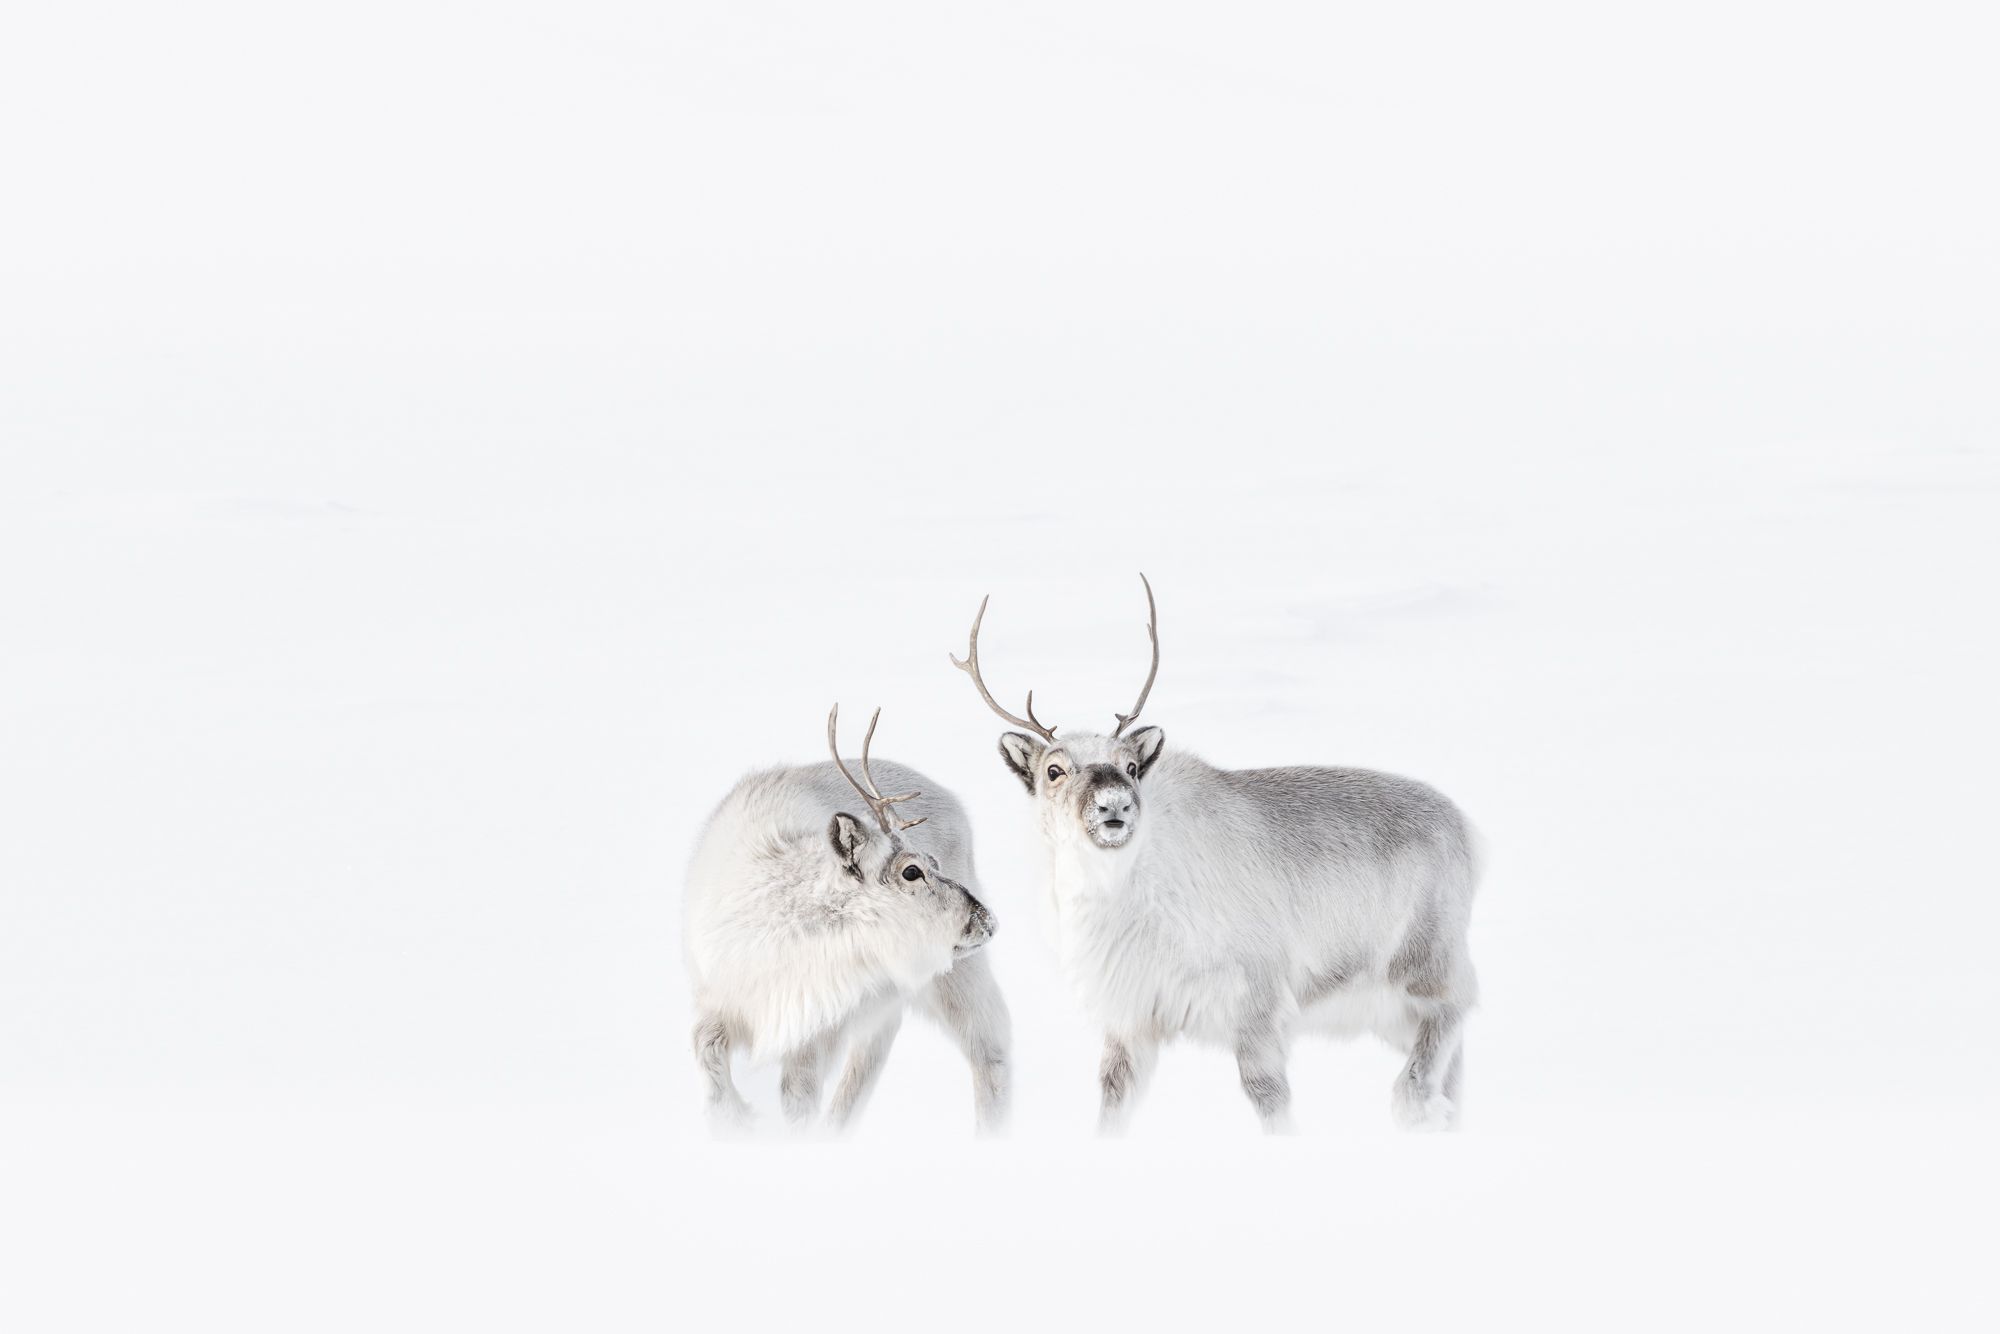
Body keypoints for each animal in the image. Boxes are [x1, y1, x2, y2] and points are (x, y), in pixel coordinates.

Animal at [683, 706, 1010, 1135]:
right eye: (912, 872)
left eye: (934, 863)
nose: (987, 920)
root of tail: (952, 799)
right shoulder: (721, 1001)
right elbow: (706, 1052)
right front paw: (734, 1120)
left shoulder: (817, 1031)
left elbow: (797, 1097)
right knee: (868, 1064)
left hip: (957, 978)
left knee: (989, 1051)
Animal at [949, 576, 1478, 1133]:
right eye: (1054, 770)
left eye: (1131, 766)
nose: (1114, 805)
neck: (1121, 903)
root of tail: (1468, 829)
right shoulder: (1131, 1018)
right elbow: (1112, 1100)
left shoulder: (1257, 1002)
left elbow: (1269, 1097)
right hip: (1390, 1009)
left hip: (1427, 962)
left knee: (1455, 1009)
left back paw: (1414, 1099)